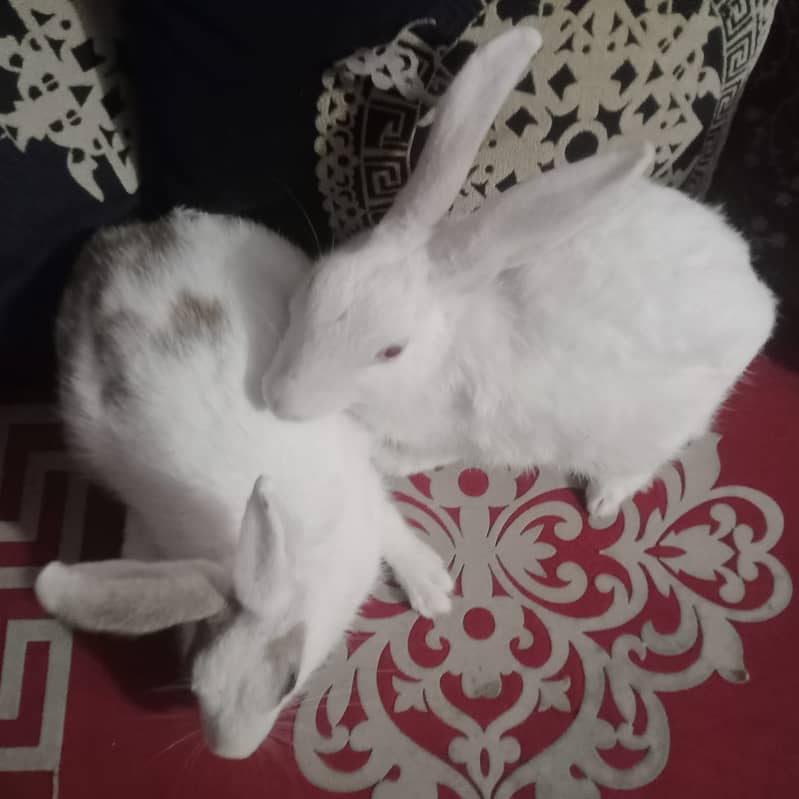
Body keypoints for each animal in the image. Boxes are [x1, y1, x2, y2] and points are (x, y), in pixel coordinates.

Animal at [34, 209, 453, 760]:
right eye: (195, 684)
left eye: (289, 680)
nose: (230, 753)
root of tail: (126, 237)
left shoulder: (358, 477)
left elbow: (390, 523)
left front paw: (432, 588)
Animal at [262, 27, 777, 519]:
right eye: (314, 286)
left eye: (391, 351)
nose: (279, 399)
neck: (437, 359)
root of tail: (754, 293)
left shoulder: (464, 434)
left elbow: (427, 454)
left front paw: (385, 459)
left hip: (646, 429)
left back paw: (604, 502)